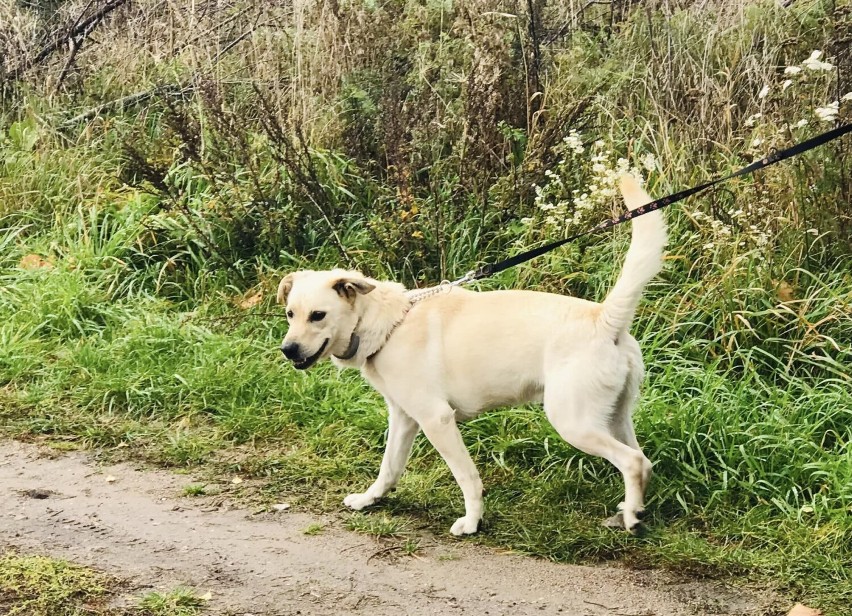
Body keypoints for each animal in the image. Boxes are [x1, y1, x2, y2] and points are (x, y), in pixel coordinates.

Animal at [278, 173, 664, 536]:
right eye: (290, 314)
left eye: (318, 316)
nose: (287, 350)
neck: (387, 324)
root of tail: (604, 318)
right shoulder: (404, 419)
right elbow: (389, 467)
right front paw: (369, 499)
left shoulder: (436, 419)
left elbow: (467, 477)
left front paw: (473, 521)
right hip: (613, 419)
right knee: (644, 460)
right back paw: (633, 508)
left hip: (573, 422)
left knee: (631, 461)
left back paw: (631, 517)